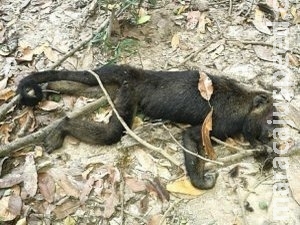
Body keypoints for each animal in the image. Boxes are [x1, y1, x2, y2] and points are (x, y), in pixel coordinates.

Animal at [17, 64, 276, 190]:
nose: (270, 137)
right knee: (111, 133)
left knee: (91, 87)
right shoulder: (225, 121)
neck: (246, 102)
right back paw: (64, 125)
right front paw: (200, 182)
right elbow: (191, 136)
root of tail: (134, 73)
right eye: (270, 123)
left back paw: (58, 86)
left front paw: (266, 154)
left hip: (118, 88)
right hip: (128, 91)